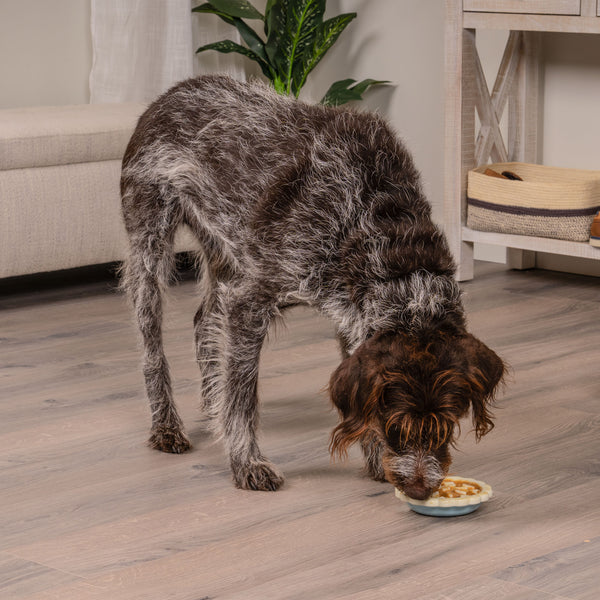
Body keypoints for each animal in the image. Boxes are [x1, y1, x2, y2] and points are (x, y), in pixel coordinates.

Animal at [119, 76, 504, 496]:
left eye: (447, 421)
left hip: (225, 249)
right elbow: (241, 396)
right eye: (396, 421)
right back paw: (166, 426)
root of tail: (172, 92)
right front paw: (246, 463)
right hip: (151, 246)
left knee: (204, 320)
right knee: (152, 348)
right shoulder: (250, 302)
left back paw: (209, 403)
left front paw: (374, 461)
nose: (419, 488)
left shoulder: (351, 315)